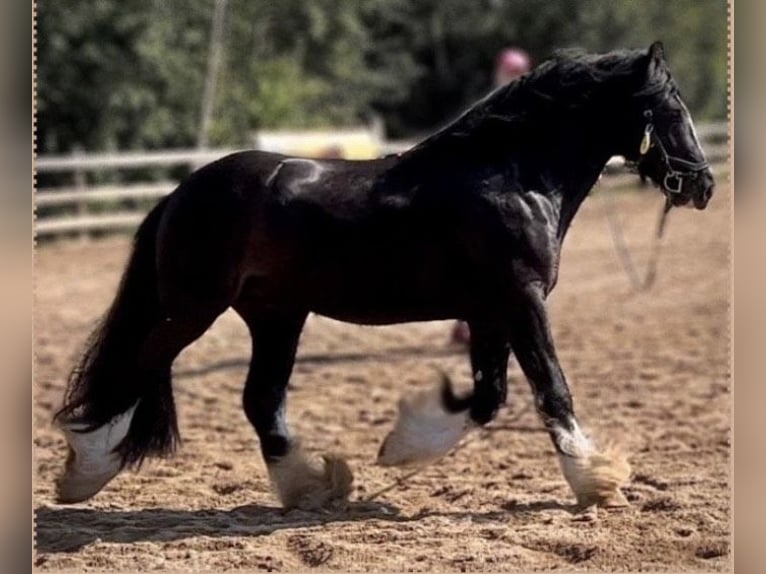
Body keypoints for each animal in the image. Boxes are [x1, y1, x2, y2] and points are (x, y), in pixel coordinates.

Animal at [52, 42, 714, 510]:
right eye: (669, 109)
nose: (703, 185)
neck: (511, 177)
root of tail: (181, 193)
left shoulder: (487, 312)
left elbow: (488, 399)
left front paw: (400, 448)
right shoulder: (520, 301)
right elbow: (551, 389)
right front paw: (596, 482)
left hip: (276, 316)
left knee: (259, 399)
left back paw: (313, 486)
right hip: (193, 309)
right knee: (138, 369)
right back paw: (85, 473)